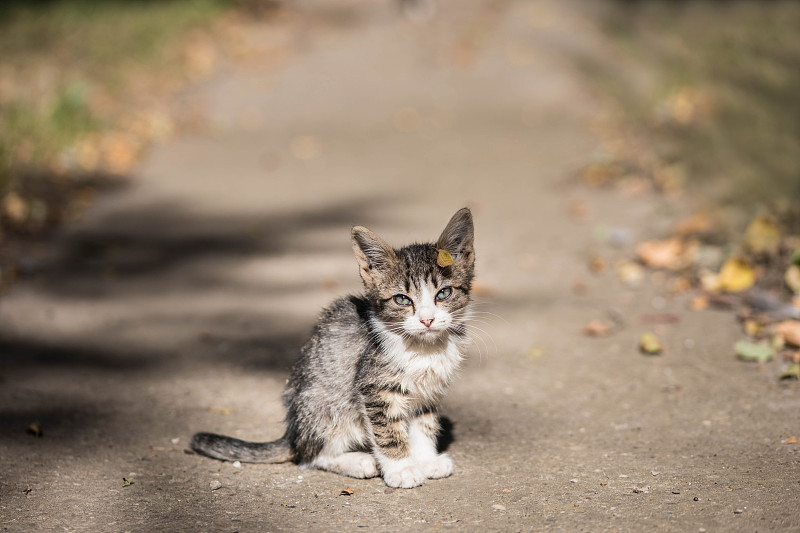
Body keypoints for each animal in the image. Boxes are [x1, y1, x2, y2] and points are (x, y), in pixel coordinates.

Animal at [189, 207, 476, 486]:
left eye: (443, 294)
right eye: (402, 299)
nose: (427, 320)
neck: (424, 348)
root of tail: (293, 432)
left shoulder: (429, 391)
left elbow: (424, 425)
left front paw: (426, 460)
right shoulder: (373, 388)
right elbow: (387, 430)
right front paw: (402, 469)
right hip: (326, 406)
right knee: (310, 456)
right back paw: (358, 461)